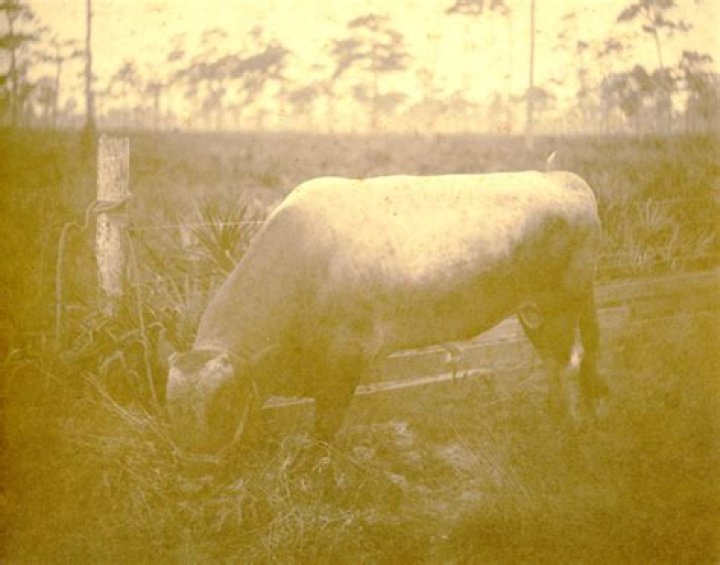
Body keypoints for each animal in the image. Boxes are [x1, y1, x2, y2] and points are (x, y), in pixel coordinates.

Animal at [166, 170, 607, 454]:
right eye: (173, 408)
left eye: (222, 407)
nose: (196, 471)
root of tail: (564, 178)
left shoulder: (344, 364)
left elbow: (325, 426)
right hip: (535, 311)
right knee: (556, 362)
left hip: (559, 306)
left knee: (568, 362)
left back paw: (571, 427)